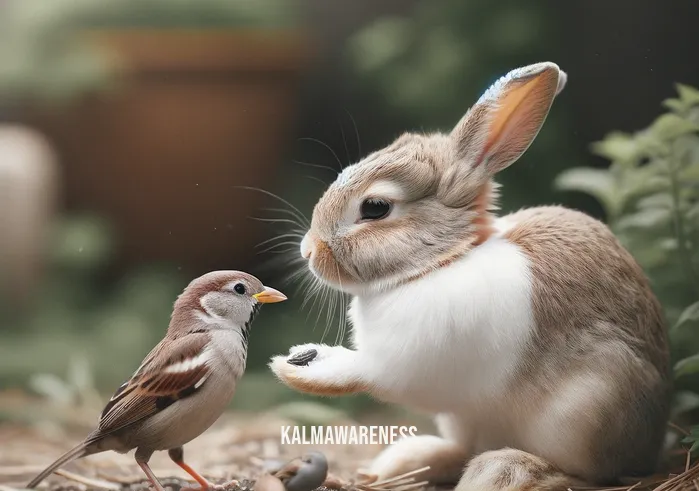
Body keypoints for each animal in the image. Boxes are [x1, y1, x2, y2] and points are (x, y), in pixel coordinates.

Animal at [270, 62, 672, 491]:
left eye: (375, 207)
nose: (308, 251)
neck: (441, 261)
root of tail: (650, 446)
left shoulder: (400, 363)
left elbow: (366, 371)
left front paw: (299, 369)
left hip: (585, 414)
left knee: (587, 475)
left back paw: (505, 470)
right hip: (469, 420)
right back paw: (404, 461)